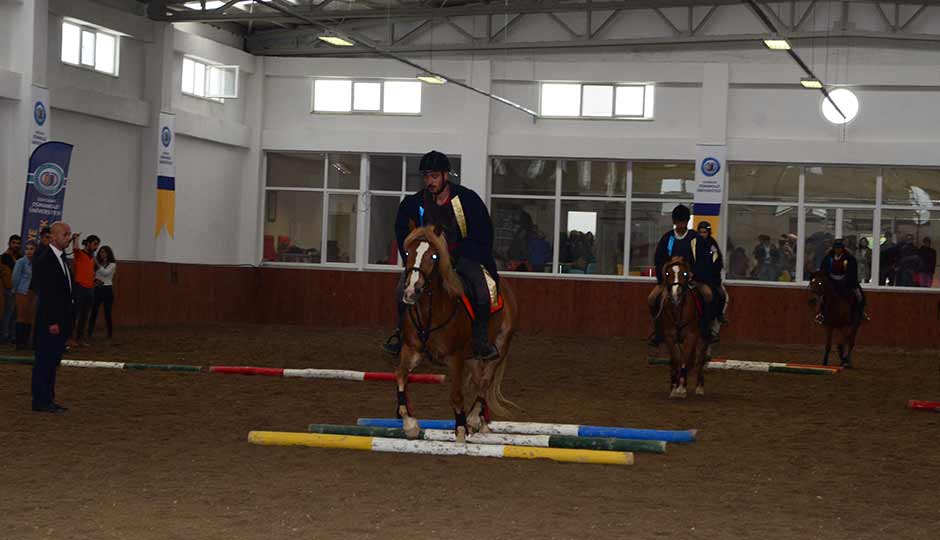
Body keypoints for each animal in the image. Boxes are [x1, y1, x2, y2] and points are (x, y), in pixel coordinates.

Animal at [392, 226, 516, 440]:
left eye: (434, 256)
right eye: (407, 253)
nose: (411, 291)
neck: (431, 312)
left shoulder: (455, 358)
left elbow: (457, 396)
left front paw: (460, 430)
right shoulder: (411, 349)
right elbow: (400, 376)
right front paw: (410, 425)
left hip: (500, 346)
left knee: (485, 382)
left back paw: (473, 419)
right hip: (472, 356)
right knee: (479, 382)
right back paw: (482, 422)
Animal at [652, 255, 712, 398]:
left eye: (685, 273)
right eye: (667, 274)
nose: (676, 294)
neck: (678, 310)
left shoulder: (690, 336)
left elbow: (684, 360)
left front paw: (682, 388)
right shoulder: (670, 337)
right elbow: (676, 360)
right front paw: (674, 387)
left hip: (703, 338)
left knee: (700, 359)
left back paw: (699, 387)